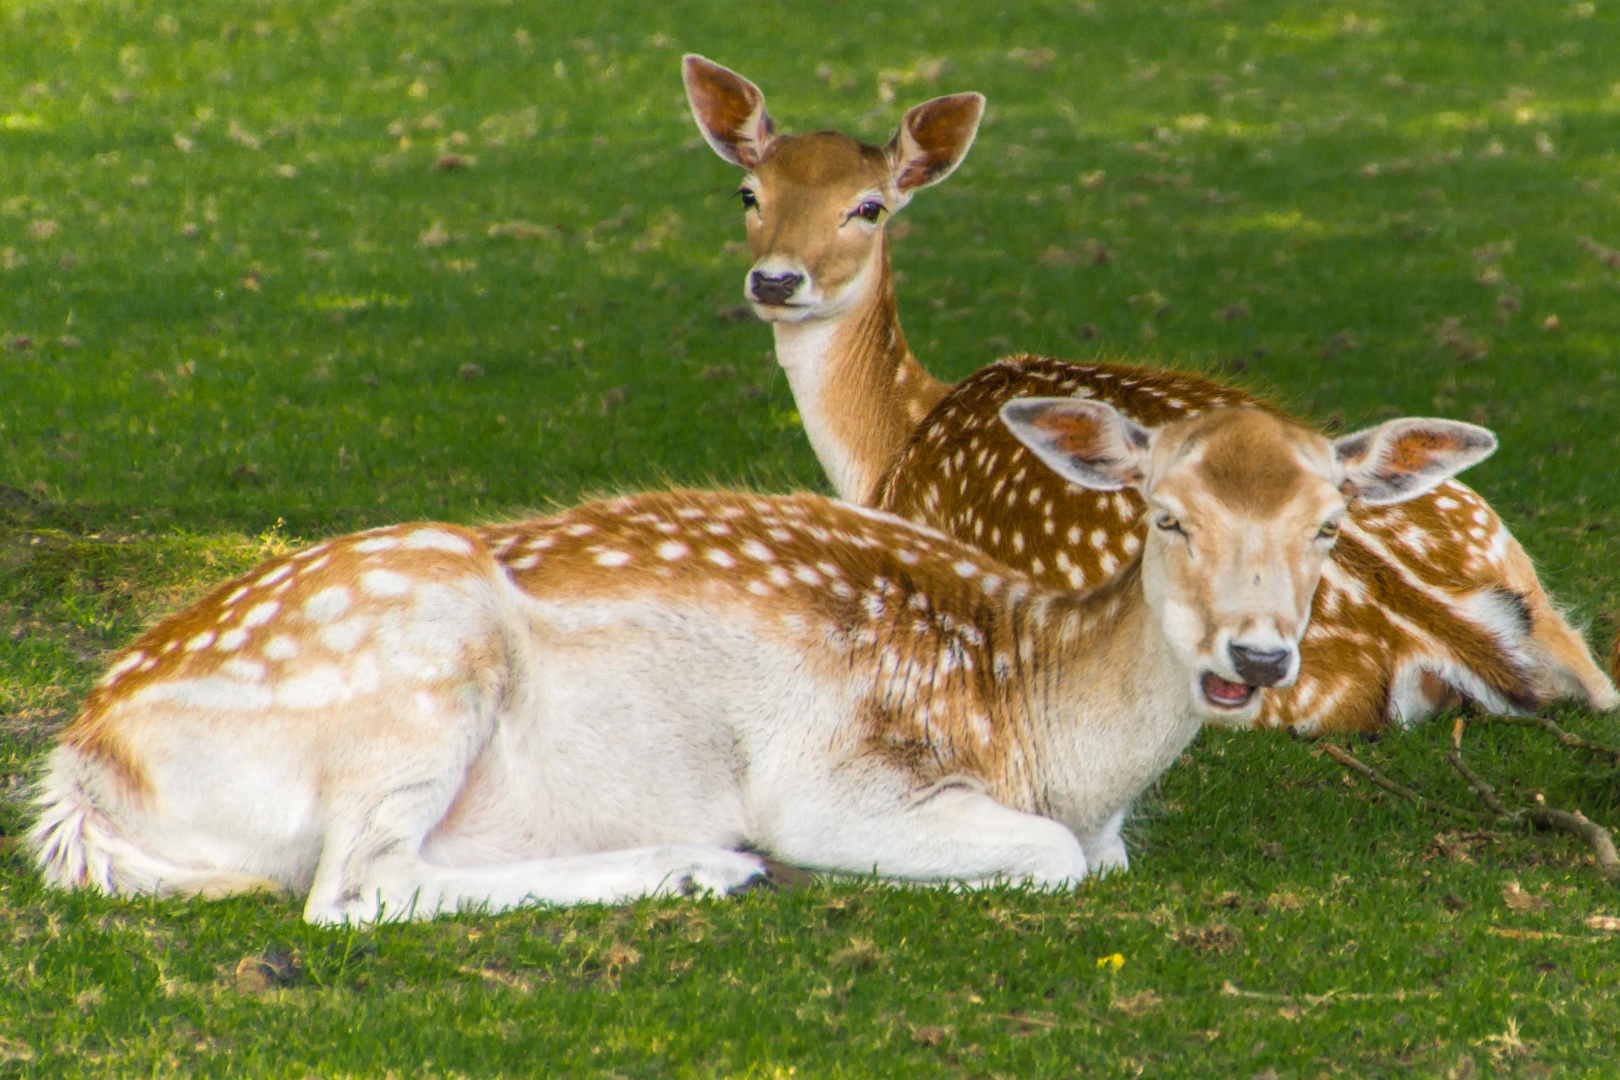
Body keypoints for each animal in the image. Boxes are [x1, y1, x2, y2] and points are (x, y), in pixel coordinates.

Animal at [31, 401, 1490, 926]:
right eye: (1167, 513)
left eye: (1330, 523)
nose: (1257, 653)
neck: (1057, 747)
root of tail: (78, 771)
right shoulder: (831, 775)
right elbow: (1053, 859)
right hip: (418, 667)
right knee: (356, 887)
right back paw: (706, 864)